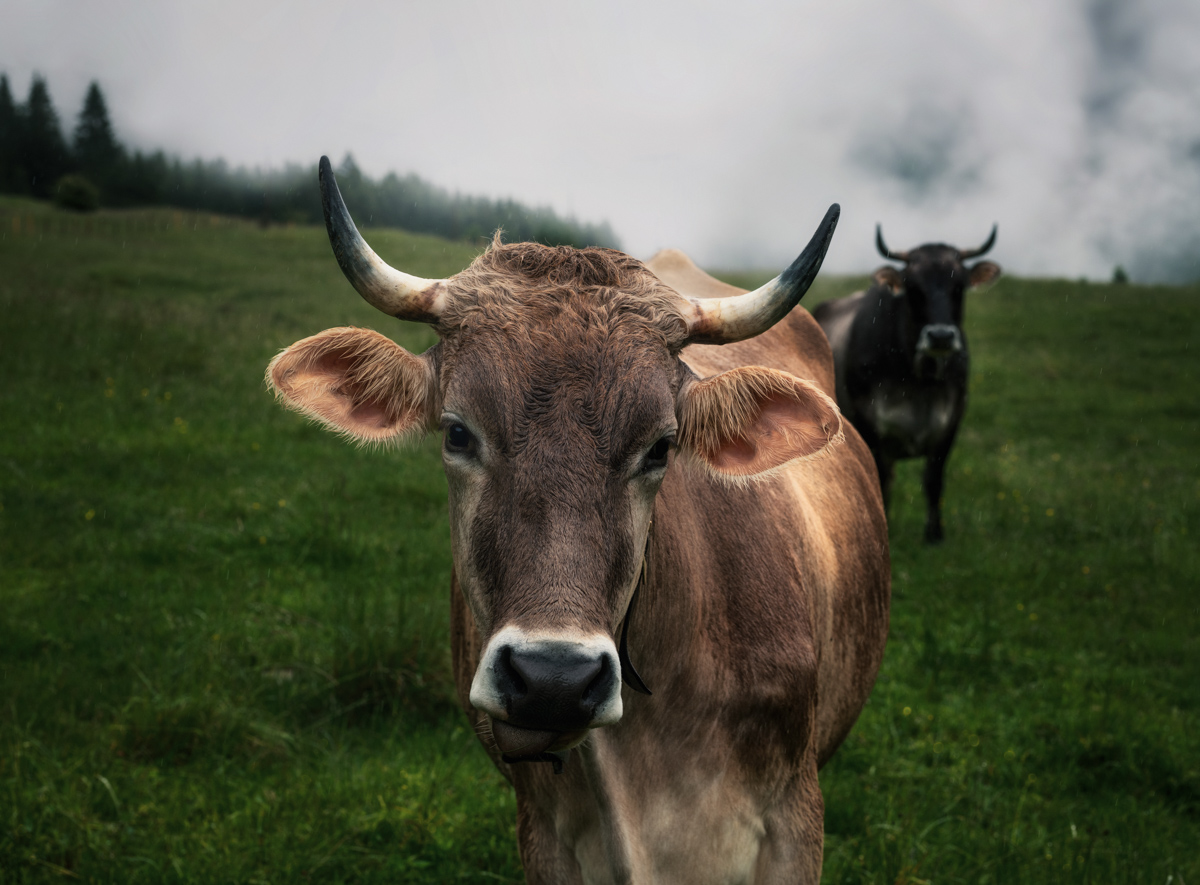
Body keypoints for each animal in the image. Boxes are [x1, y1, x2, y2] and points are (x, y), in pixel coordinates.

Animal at [812, 226, 1001, 543]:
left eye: (959, 286)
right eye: (913, 288)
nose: (940, 336)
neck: (919, 380)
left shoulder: (951, 421)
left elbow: (933, 480)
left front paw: (934, 536)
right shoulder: (869, 423)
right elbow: (880, 479)